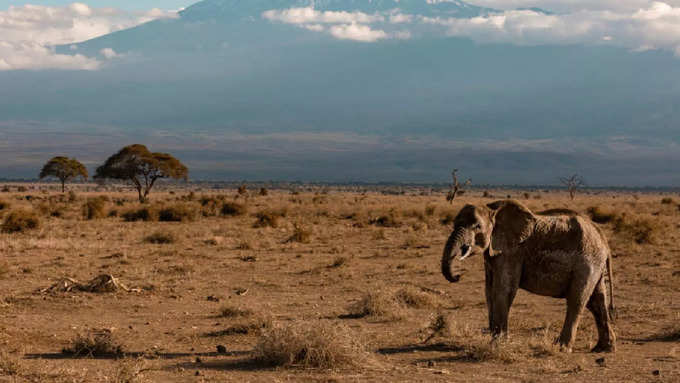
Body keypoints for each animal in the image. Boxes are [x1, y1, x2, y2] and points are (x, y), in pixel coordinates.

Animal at [438, 201, 620, 354]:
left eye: (477, 226)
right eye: (454, 224)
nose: (458, 276)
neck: (493, 210)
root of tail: (604, 240)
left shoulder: (512, 252)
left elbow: (504, 290)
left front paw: (498, 344)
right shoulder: (494, 254)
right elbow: (489, 291)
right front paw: (495, 340)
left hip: (587, 262)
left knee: (577, 300)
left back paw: (562, 348)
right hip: (595, 264)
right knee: (597, 301)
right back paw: (603, 349)